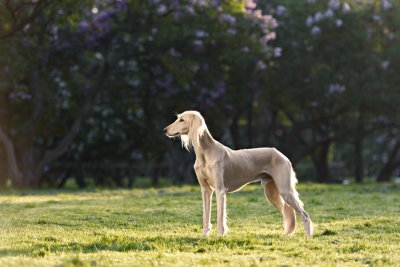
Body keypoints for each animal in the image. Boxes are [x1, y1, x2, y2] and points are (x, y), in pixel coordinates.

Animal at [164, 110, 314, 238]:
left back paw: (308, 236)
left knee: (305, 215)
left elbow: (220, 217)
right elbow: (206, 216)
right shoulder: (206, 190)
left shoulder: (220, 190)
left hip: (285, 190)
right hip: (271, 191)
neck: (205, 153)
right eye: (177, 118)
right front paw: (204, 235)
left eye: (182, 120)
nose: (165, 130)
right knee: (288, 212)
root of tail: (282, 155)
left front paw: (220, 236)